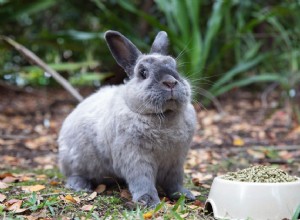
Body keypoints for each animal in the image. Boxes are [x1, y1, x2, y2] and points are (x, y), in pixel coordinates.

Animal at [58, 30, 198, 207]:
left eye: (175, 68)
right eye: (143, 73)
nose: (171, 82)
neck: (164, 116)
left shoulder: (175, 161)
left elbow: (174, 182)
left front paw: (184, 195)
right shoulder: (135, 158)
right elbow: (142, 181)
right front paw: (148, 201)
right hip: (75, 162)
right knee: (74, 175)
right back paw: (81, 186)